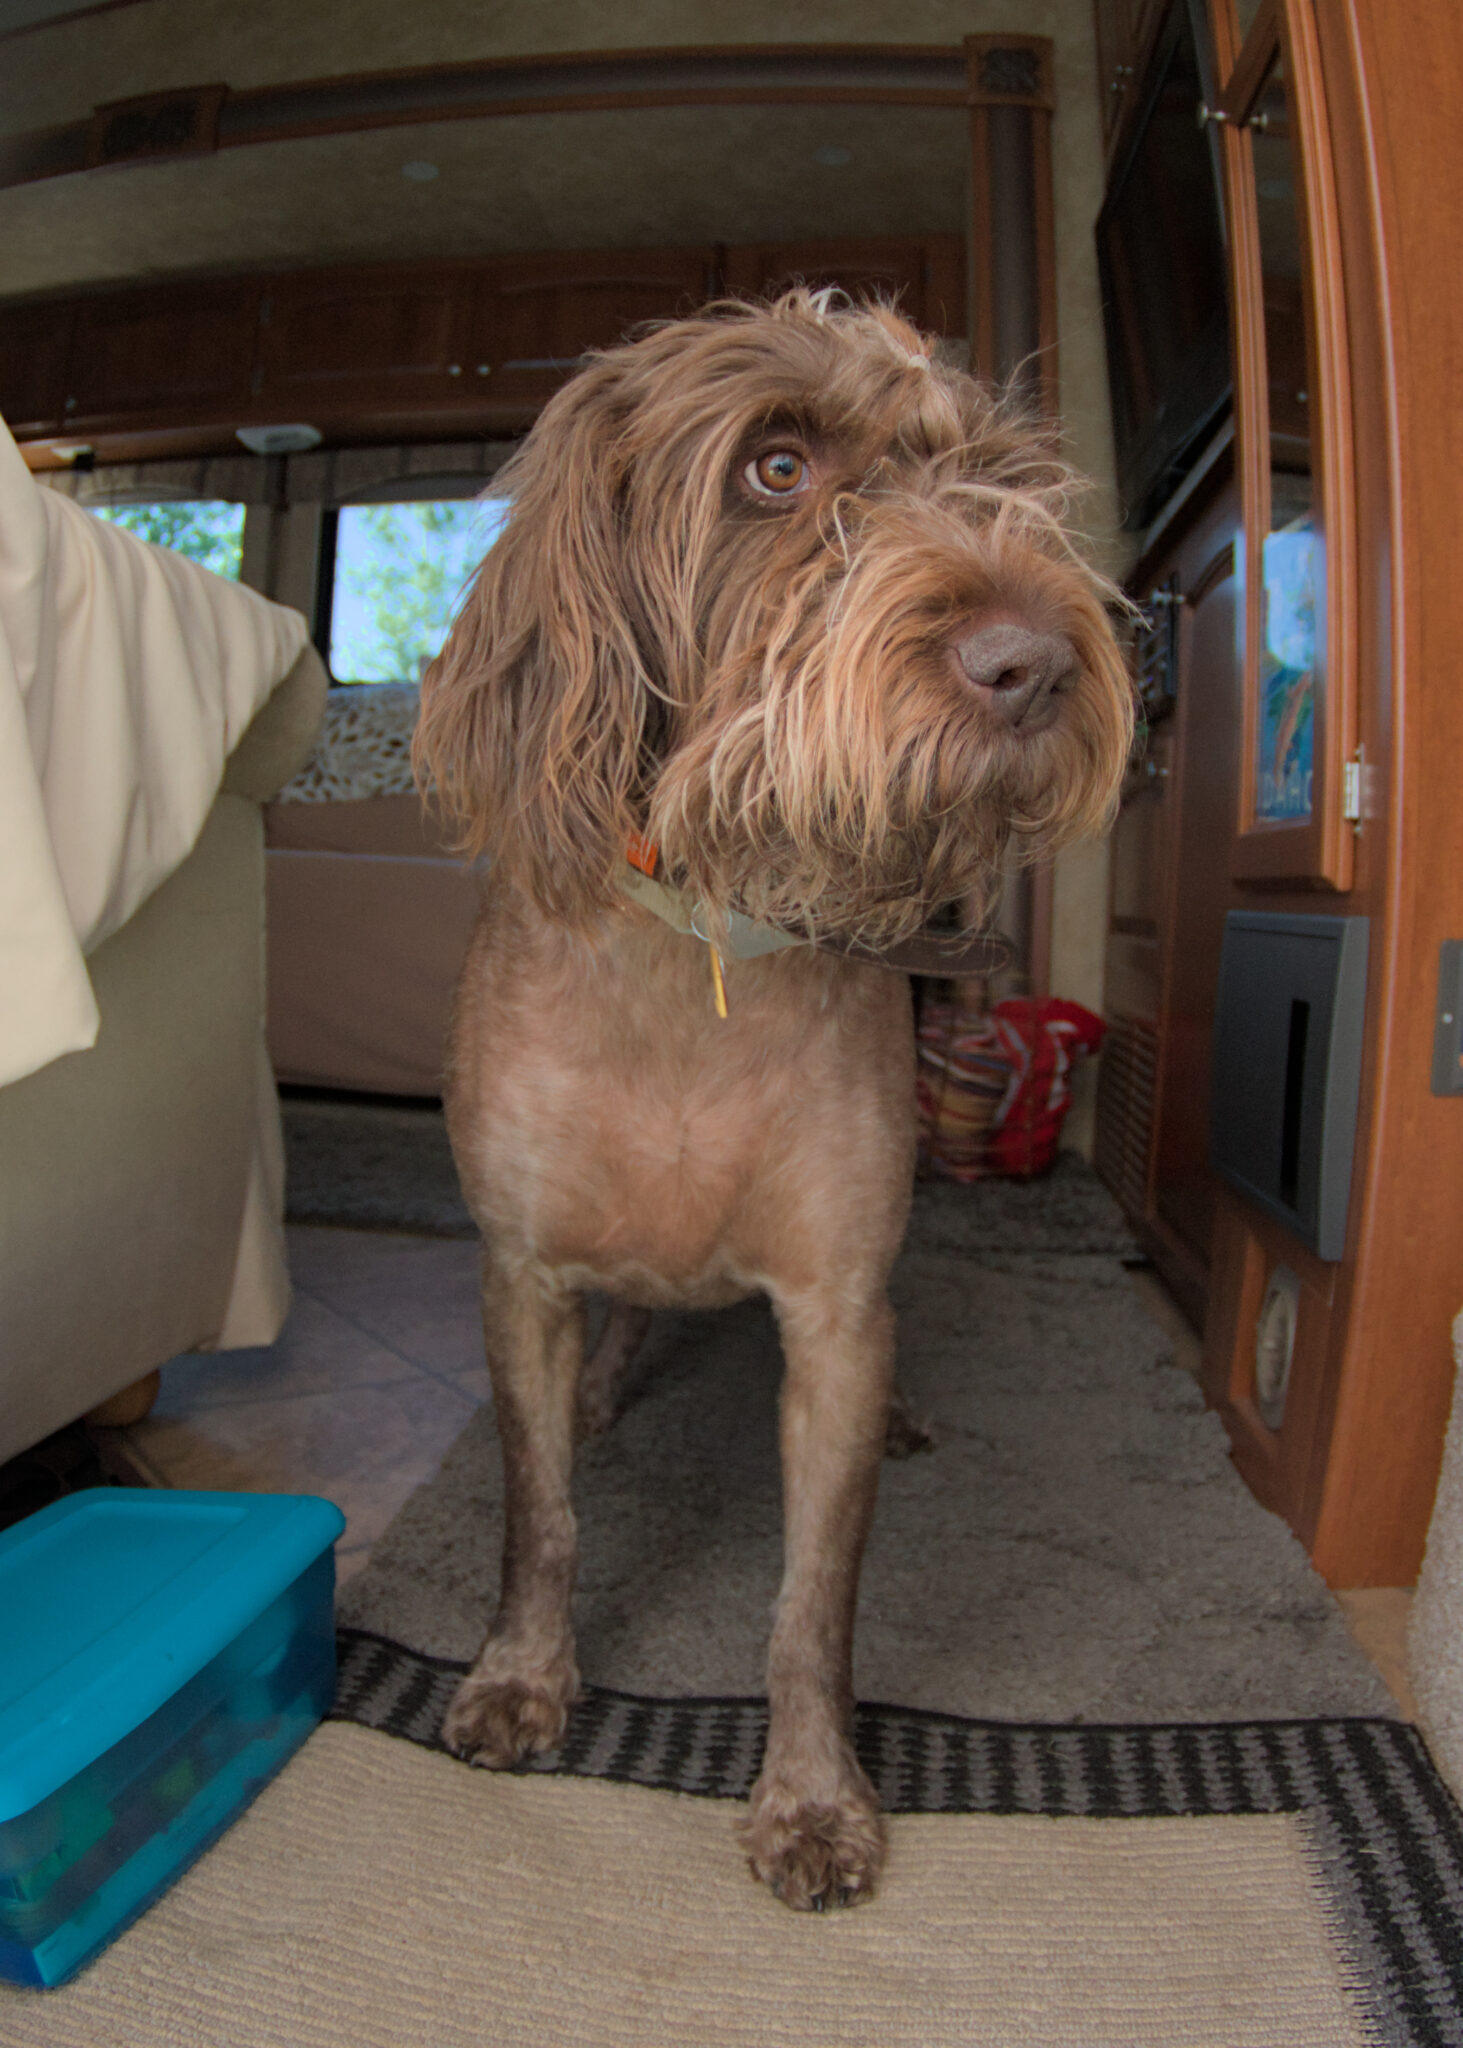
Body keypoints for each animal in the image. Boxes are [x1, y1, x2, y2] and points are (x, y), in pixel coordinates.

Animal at [415, 288, 1131, 1900]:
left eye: (991, 474)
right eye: (776, 469)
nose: (1035, 662)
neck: (704, 950)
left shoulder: (833, 1317)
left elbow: (813, 1603)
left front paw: (809, 1797)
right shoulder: (518, 1274)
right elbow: (537, 1514)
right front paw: (519, 1677)